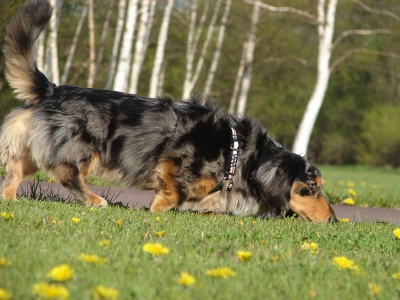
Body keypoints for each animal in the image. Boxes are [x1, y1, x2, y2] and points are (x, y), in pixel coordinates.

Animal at [0, 0, 338, 221]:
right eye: (311, 188)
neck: (236, 153)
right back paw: (96, 200)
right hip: (82, 149)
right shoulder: (176, 161)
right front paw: (157, 208)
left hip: (28, 151)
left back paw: (11, 199)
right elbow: (176, 193)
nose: (335, 219)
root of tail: (51, 90)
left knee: (13, 175)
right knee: (65, 174)